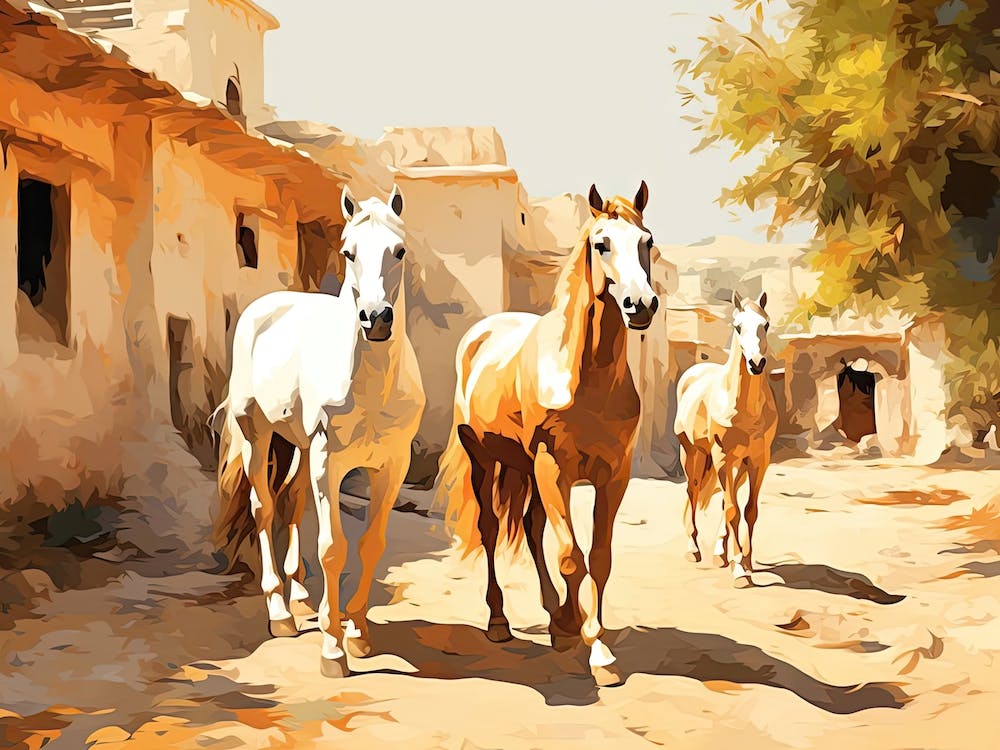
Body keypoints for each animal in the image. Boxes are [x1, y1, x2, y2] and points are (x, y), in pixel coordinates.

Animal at [212, 186, 425, 678]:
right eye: (348, 252)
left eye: (400, 250)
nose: (375, 318)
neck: (371, 385)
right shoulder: (331, 461)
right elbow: (333, 547)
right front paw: (332, 647)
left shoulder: (393, 466)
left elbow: (371, 545)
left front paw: (358, 632)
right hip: (257, 437)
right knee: (264, 508)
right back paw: (280, 611)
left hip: (302, 448)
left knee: (291, 503)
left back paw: (302, 598)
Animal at [438, 182, 658, 687]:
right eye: (601, 244)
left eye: (647, 241)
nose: (641, 305)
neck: (585, 376)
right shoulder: (554, 468)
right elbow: (572, 557)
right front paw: (596, 649)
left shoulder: (613, 475)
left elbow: (598, 557)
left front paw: (582, 629)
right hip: (486, 460)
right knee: (491, 528)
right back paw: (499, 620)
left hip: (527, 468)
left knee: (533, 528)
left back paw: (558, 618)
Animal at [674, 290, 777, 587]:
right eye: (738, 327)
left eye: (766, 324)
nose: (756, 363)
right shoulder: (722, 458)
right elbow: (733, 510)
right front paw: (740, 570)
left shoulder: (758, 460)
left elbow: (749, 510)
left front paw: (747, 561)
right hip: (695, 455)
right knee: (693, 492)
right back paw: (693, 549)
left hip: (737, 465)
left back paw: (721, 552)